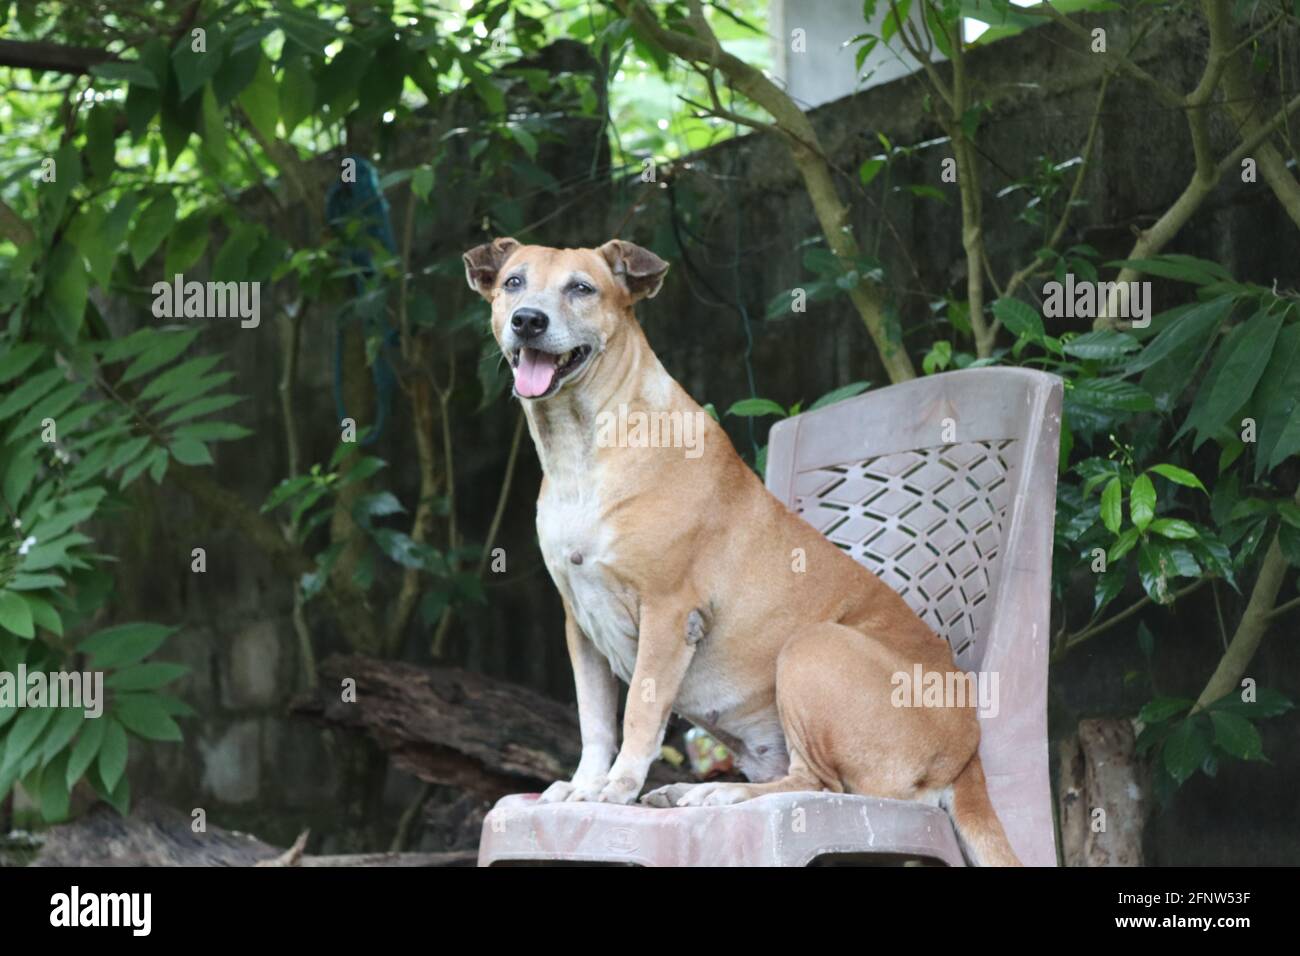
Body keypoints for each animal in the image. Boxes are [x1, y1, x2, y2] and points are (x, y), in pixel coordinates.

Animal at [462, 235, 1019, 863]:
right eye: (514, 282)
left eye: (581, 288)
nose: (527, 320)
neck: (581, 444)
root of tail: (968, 754)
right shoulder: (578, 624)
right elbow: (595, 721)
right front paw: (583, 785)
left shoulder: (668, 612)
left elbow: (638, 714)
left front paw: (617, 787)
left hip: (813, 648)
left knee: (817, 784)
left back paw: (717, 796)